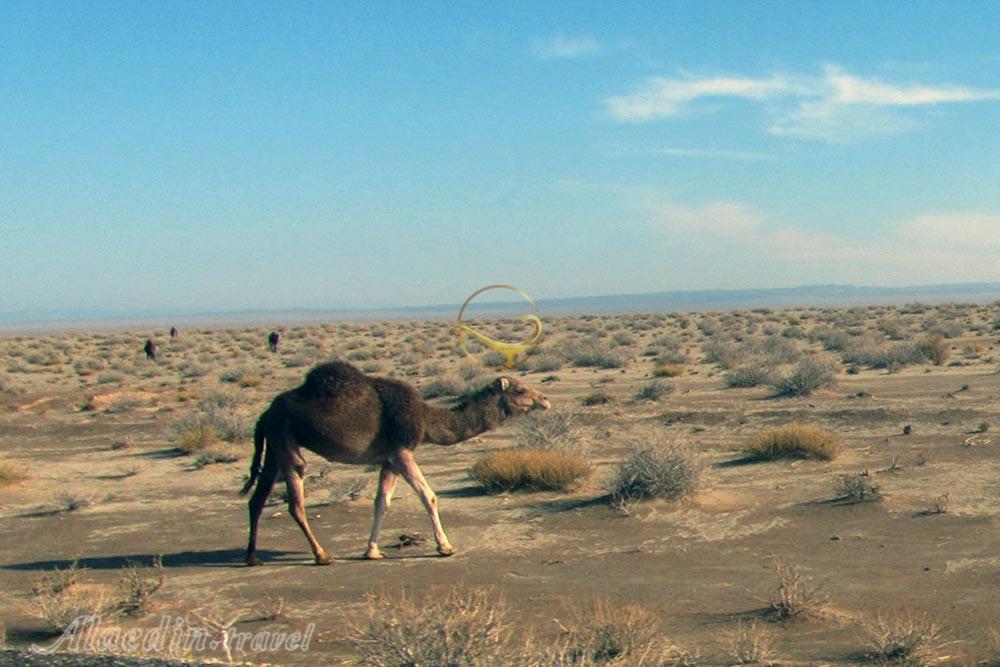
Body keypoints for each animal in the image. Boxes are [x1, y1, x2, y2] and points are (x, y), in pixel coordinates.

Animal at [239, 362, 552, 568]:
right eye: (520, 390)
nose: (545, 399)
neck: (426, 418)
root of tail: (264, 413)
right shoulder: (402, 450)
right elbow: (428, 495)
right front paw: (445, 547)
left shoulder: (388, 458)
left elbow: (382, 502)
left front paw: (372, 551)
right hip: (285, 439)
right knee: (295, 499)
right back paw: (322, 555)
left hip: (275, 446)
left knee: (257, 499)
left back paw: (252, 557)